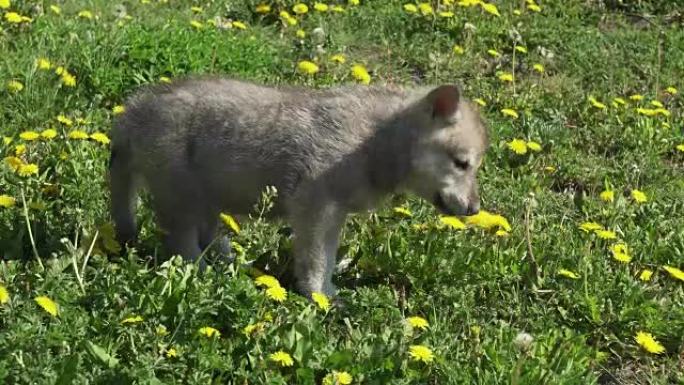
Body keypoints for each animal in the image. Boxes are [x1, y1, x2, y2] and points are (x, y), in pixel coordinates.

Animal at [109, 76, 488, 296]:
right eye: (462, 163)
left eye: (473, 166)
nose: (474, 209)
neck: (374, 140)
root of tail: (134, 111)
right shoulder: (315, 209)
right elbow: (316, 261)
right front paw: (317, 298)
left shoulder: (334, 215)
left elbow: (329, 259)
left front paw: (329, 294)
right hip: (183, 198)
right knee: (182, 244)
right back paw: (203, 275)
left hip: (207, 198)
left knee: (208, 238)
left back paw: (229, 264)